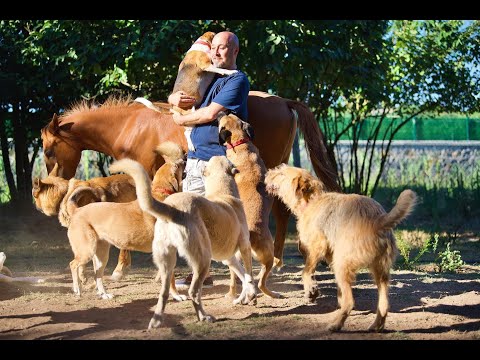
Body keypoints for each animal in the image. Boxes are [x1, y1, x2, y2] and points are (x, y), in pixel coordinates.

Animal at [42, 90, 342, 278]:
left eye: (48, 150)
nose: (57, 181)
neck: (130, 125)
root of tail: (283, 101)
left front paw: (120, 268)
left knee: (280, 211)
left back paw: (277, 261)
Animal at [66, 141, 187, 300]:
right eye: (177, 165)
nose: (185, 158)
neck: (160, 192)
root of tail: (77, 210)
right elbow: (171, 277)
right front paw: (176, 295)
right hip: (87, 250)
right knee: (73, 264)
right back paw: (77, 289)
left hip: (101, 254)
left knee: (97, 274)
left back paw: (104, 294)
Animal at [110, 155, 256, 330]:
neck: (223, 193)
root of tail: (173, 208)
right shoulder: (245, 248)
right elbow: (249, 275)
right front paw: (252, 294)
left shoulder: (229, 259)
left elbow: (243, 276)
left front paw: (248, 295)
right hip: (203, 260)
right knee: (193, 291)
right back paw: (204, 317)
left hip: (167, 263)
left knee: (164, 293)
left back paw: (156, 321)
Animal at [218, 114, 282, 300]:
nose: (221, 112)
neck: (240, 143)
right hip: (268, 256)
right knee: (260, 282)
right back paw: (272, 294)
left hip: (242, 258)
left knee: (239, 279)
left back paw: (232, 294)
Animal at [262, 165, 416, 334]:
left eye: (282, 173)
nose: (266, 173)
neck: (312, 201)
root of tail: (377, 221)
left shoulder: (317, 247)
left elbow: (306, 271)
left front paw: (311, 291)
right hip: (380, 272)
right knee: (383, 305)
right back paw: (375, 326)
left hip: (342, 264)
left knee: (350, 302)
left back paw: (336, 325)